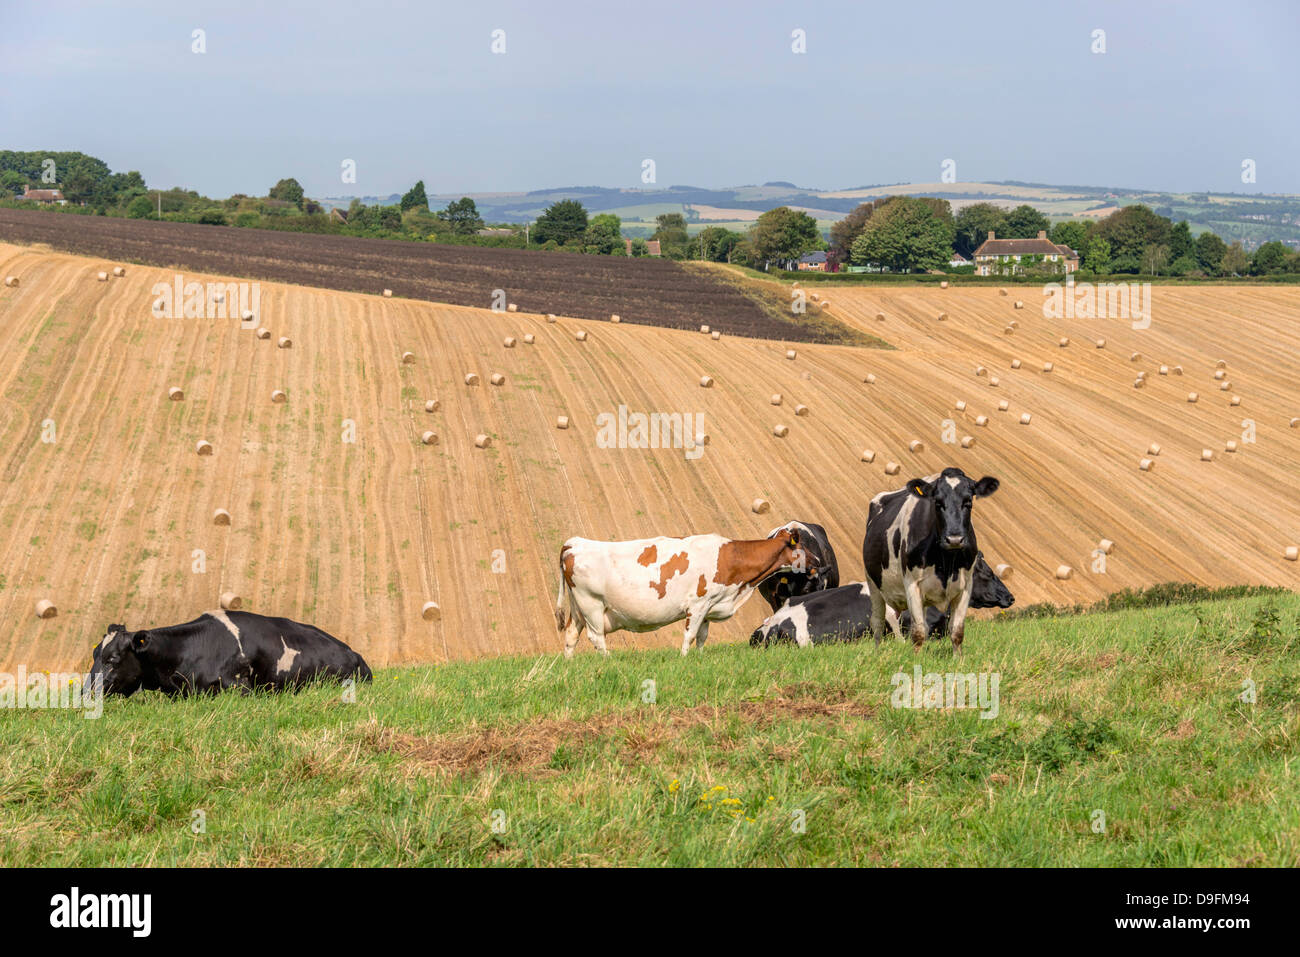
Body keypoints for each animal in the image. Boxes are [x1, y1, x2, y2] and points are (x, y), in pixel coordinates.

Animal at [553, 527, 816, 655]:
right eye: (801, 546)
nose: (818, 561)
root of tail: (575, 542)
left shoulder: (710, 606)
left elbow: (702, 636)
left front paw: (699, 658)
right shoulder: (698, 603)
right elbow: (690, 635)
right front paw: (684, 658)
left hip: (578, 608)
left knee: (571, 636)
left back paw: (569, 663)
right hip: (592, 604)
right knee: (596, 637)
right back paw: (609, 661)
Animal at [868, 468, 998, 655]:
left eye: (968, 502)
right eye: (937, 503)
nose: (954, 539)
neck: (946, 563)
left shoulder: (966, 586)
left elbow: (957, 631)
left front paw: (958, 659)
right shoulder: (912, 584)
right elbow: (918, 633)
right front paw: (917, 659)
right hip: (873, 584)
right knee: (878, 623)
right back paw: (877, 653)